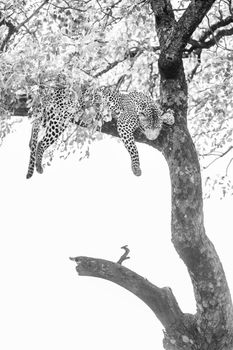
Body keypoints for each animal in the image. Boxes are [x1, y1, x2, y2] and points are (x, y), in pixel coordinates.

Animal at [26, 83, 175, 179]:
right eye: (148, 128)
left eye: (157, 128)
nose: (153, 138)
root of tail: (53, 90)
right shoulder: (124, 124)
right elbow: (134, 149)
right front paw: (136, 168)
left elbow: (164, 115)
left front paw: (169, 116)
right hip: (60, 119)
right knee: (41, 142)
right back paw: (38, 166)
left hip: (48, 117)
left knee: (36, 128)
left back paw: (30, 143)